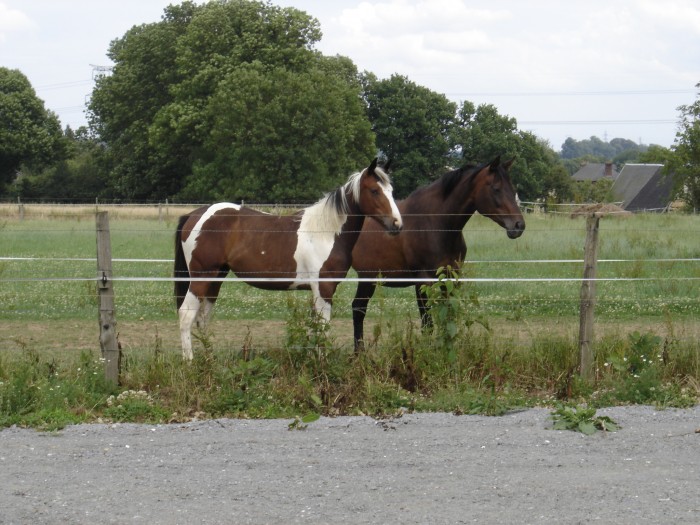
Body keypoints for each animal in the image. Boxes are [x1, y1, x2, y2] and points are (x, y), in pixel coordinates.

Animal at [175, 158, 402, 358]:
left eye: (391, 191)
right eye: (374, 191)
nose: (397, 224)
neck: (325, 232)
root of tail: (195, 215)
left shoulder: (317, 290)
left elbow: (315, 328)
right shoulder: (324, 287)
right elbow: (322, 328)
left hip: (216, 278)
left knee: (203, 319)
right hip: (202, 277)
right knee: (186, 316)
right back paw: (190, 363)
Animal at [350, 157, 524, 352]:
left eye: (513, 190)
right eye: (496, 188)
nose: (519, 225)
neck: (435, 223)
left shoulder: (451, 278)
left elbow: (448, 319)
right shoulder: (422, 281)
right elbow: (428, 325)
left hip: (368, 278)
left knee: (358, 308)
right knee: (357, 310)